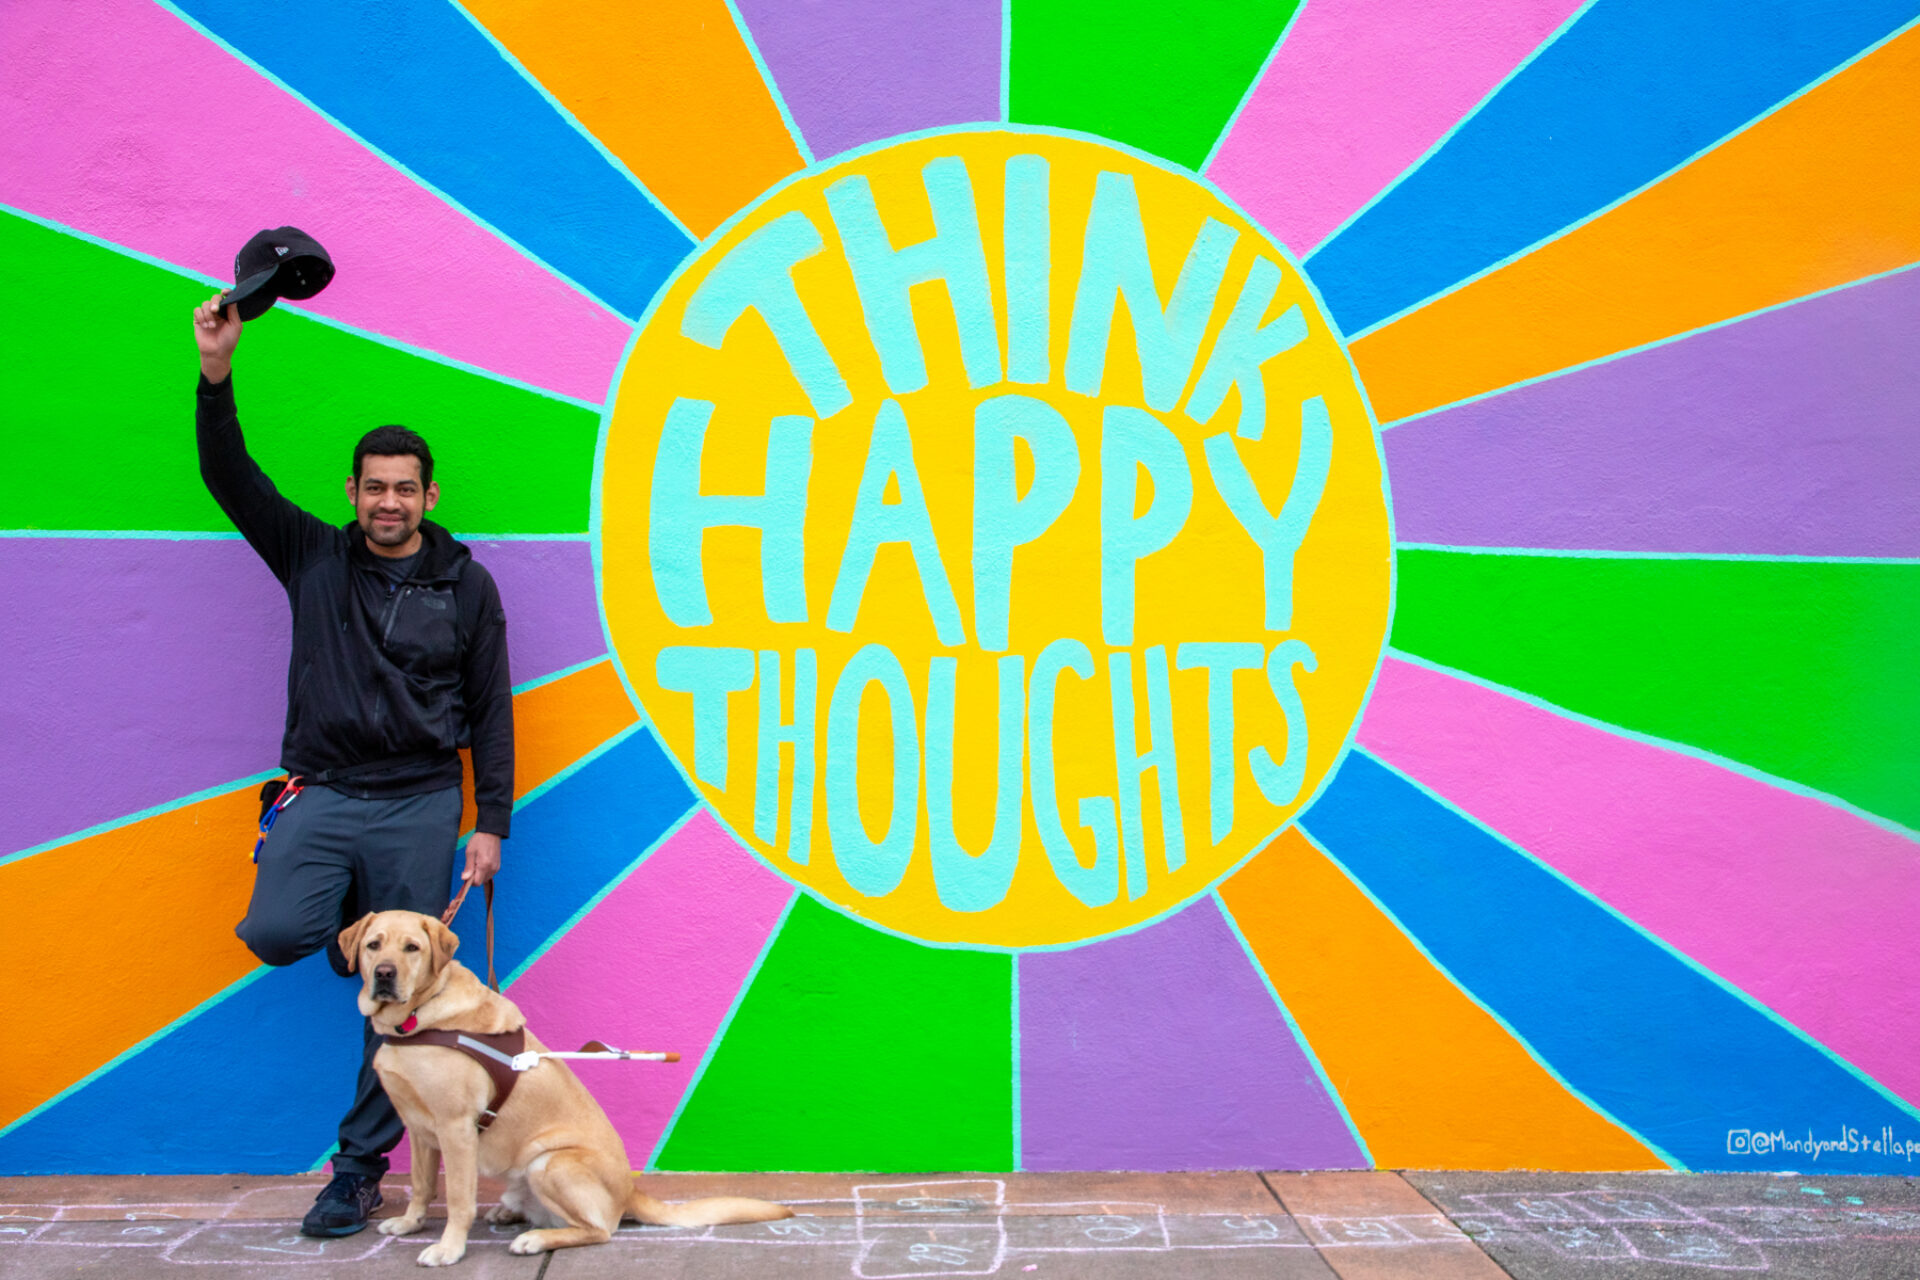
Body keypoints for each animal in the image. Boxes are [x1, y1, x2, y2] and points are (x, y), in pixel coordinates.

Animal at [341, 905, 791, 1266]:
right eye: (374, 945)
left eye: (412, 948)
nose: (384, 973)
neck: (416, 1018)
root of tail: (630, 1190)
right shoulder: (419, 1129)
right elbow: (421, 1185)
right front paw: (410, 1223)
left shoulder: (456, 1128)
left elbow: (457, 1198)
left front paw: (449, 1249)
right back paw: (510, 1213)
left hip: (550, 1162)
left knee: (598, 1230)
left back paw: (537, 1239)